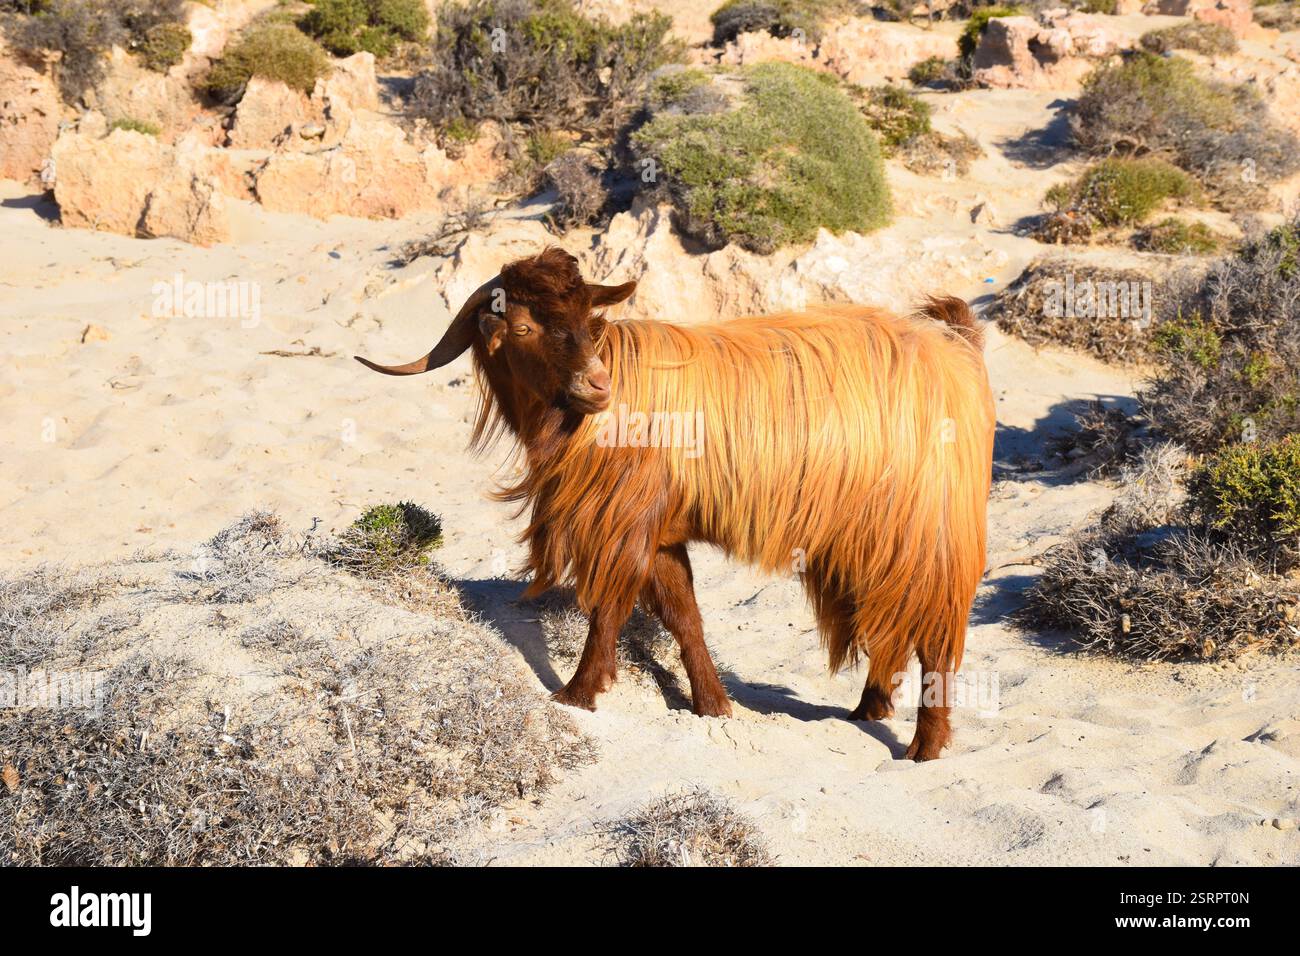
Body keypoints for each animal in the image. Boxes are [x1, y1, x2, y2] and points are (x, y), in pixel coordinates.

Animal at [357, 248, 995, 760]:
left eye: (588, 321)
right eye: (520, 326)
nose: (597, 386)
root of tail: (957, 351)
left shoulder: (623, 522)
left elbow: (609, 609)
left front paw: (577, 694)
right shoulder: (660, 531)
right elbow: (683, 615)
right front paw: (713, 706)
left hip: (925, 530)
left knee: (934, 632)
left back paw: (924, 747)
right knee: (890, 620)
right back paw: (869, 708)